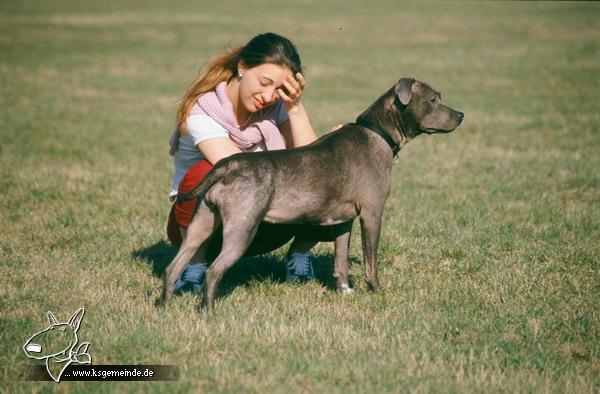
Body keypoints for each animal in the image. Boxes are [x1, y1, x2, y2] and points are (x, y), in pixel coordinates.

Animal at [159, 77, 464, 310]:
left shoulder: (344, 221)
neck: (377, 133)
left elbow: (341, 261)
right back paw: (208, 311)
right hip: (242, 228)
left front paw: (344, 290)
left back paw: (164, 306)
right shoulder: (372, 215)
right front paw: (377, 291)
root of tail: (228, 164)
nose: (461, 115)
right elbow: (371, 261)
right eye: (433, 100)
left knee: (173, 267)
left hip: (201, 224)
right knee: (213, 271)